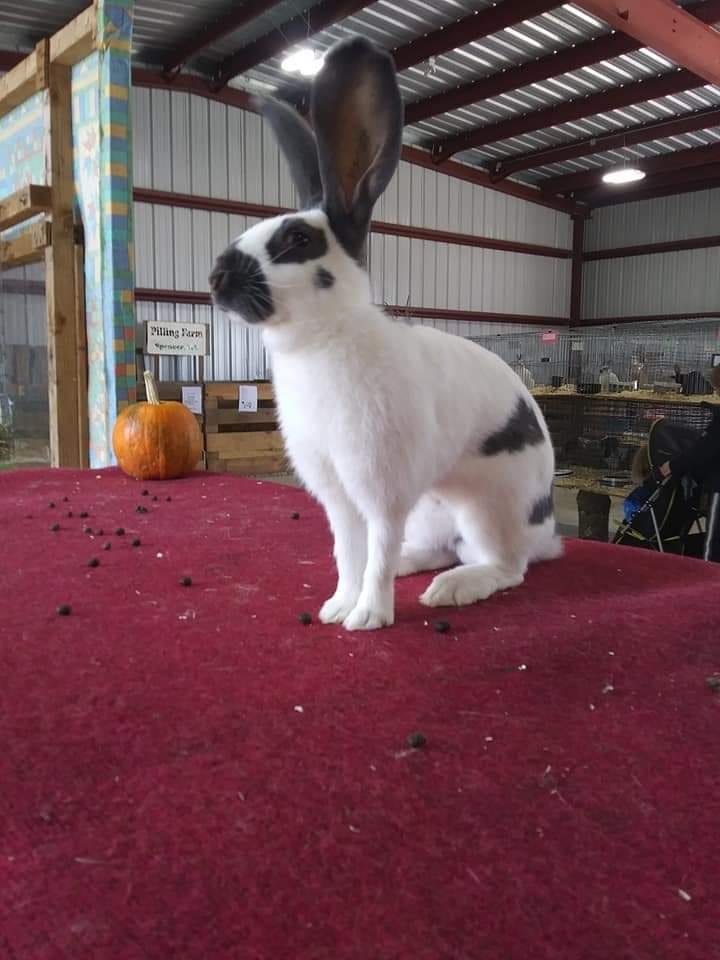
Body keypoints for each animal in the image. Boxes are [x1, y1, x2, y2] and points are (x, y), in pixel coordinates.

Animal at [209, 36, 562, 631]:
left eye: (297, 240)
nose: (216, 278)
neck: (320, 341)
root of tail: (548, 535)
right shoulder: (339, 495)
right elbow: (349, 552)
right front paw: (336, 605)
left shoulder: (380, 489)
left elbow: (373, 550)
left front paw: (367, 616)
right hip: (432, 514)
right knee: (438, 549)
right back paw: (415, 569)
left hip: (489, 508)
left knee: (505, 567)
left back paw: (452, 588)